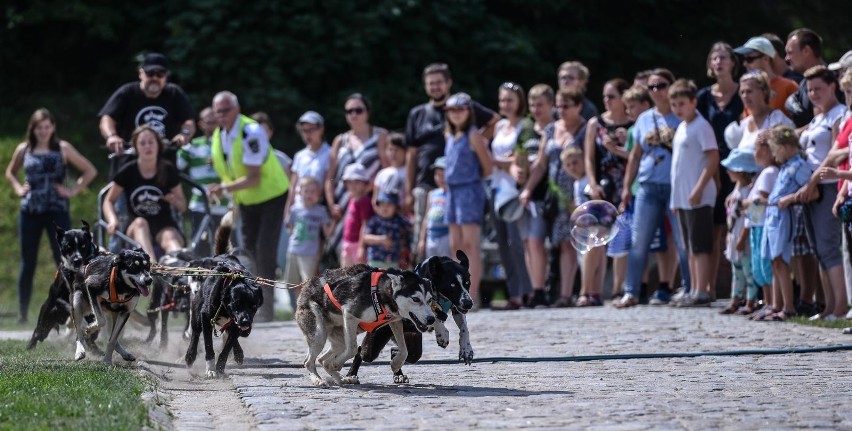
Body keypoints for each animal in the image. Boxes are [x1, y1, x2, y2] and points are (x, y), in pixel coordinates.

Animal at [26, 223, 100, 352]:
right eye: (68, 246)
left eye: (83, 245)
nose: (77, 260)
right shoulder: (59, 299)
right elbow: (69, 305)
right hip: (46, 319)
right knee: (38, 333)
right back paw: (29, 347)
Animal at [296, 266, 436, 388]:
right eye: (415, 299)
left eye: (429, 300)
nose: (432, 319)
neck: (381, 291)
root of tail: (307, 284)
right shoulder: (350, 315)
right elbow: (352, 349)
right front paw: (336, 364)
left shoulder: (395, 321)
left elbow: (404, 350)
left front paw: (396, 364)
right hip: (319, 335)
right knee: (309, 362)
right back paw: (318, 380)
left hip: (339, 340)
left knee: (322, 360)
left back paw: (342, 379)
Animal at [344, 251, 476, 384]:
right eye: (452, 285)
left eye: (468, 283)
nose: (468, 303)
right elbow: (435, 318)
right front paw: (442, 333)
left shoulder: (457, 309)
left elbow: (464, 328)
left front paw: (466, 349)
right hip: (374, 344)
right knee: (361, 352)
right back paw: (351, 375)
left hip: (412, 344)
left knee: (397, 351)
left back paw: (398, 372)